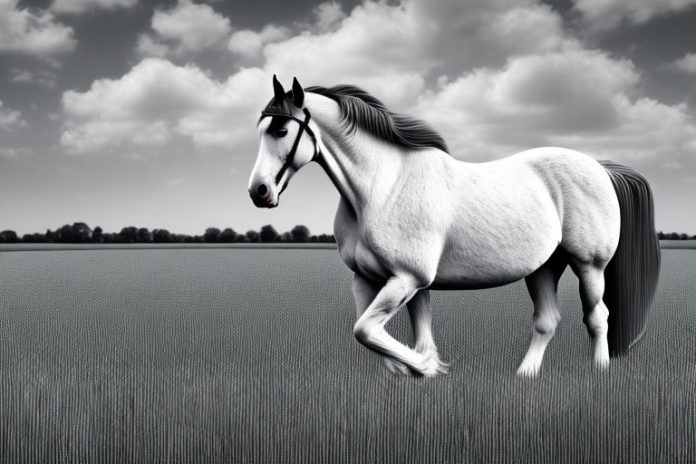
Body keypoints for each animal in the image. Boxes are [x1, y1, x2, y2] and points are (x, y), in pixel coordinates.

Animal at [248, 75, 661, 377]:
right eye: (262, 128)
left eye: (281, 131)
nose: (259, 191)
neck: (383, 186)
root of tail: (600, 167)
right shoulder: (373, 280)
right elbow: (391, 334)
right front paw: (415, 369)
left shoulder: (407, 279)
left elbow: (366, 330)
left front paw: (426, 368)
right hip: (543, 266)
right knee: (547, 321)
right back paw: (524, 377)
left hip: (589, 265)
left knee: (597, 317)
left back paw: (599, 372)